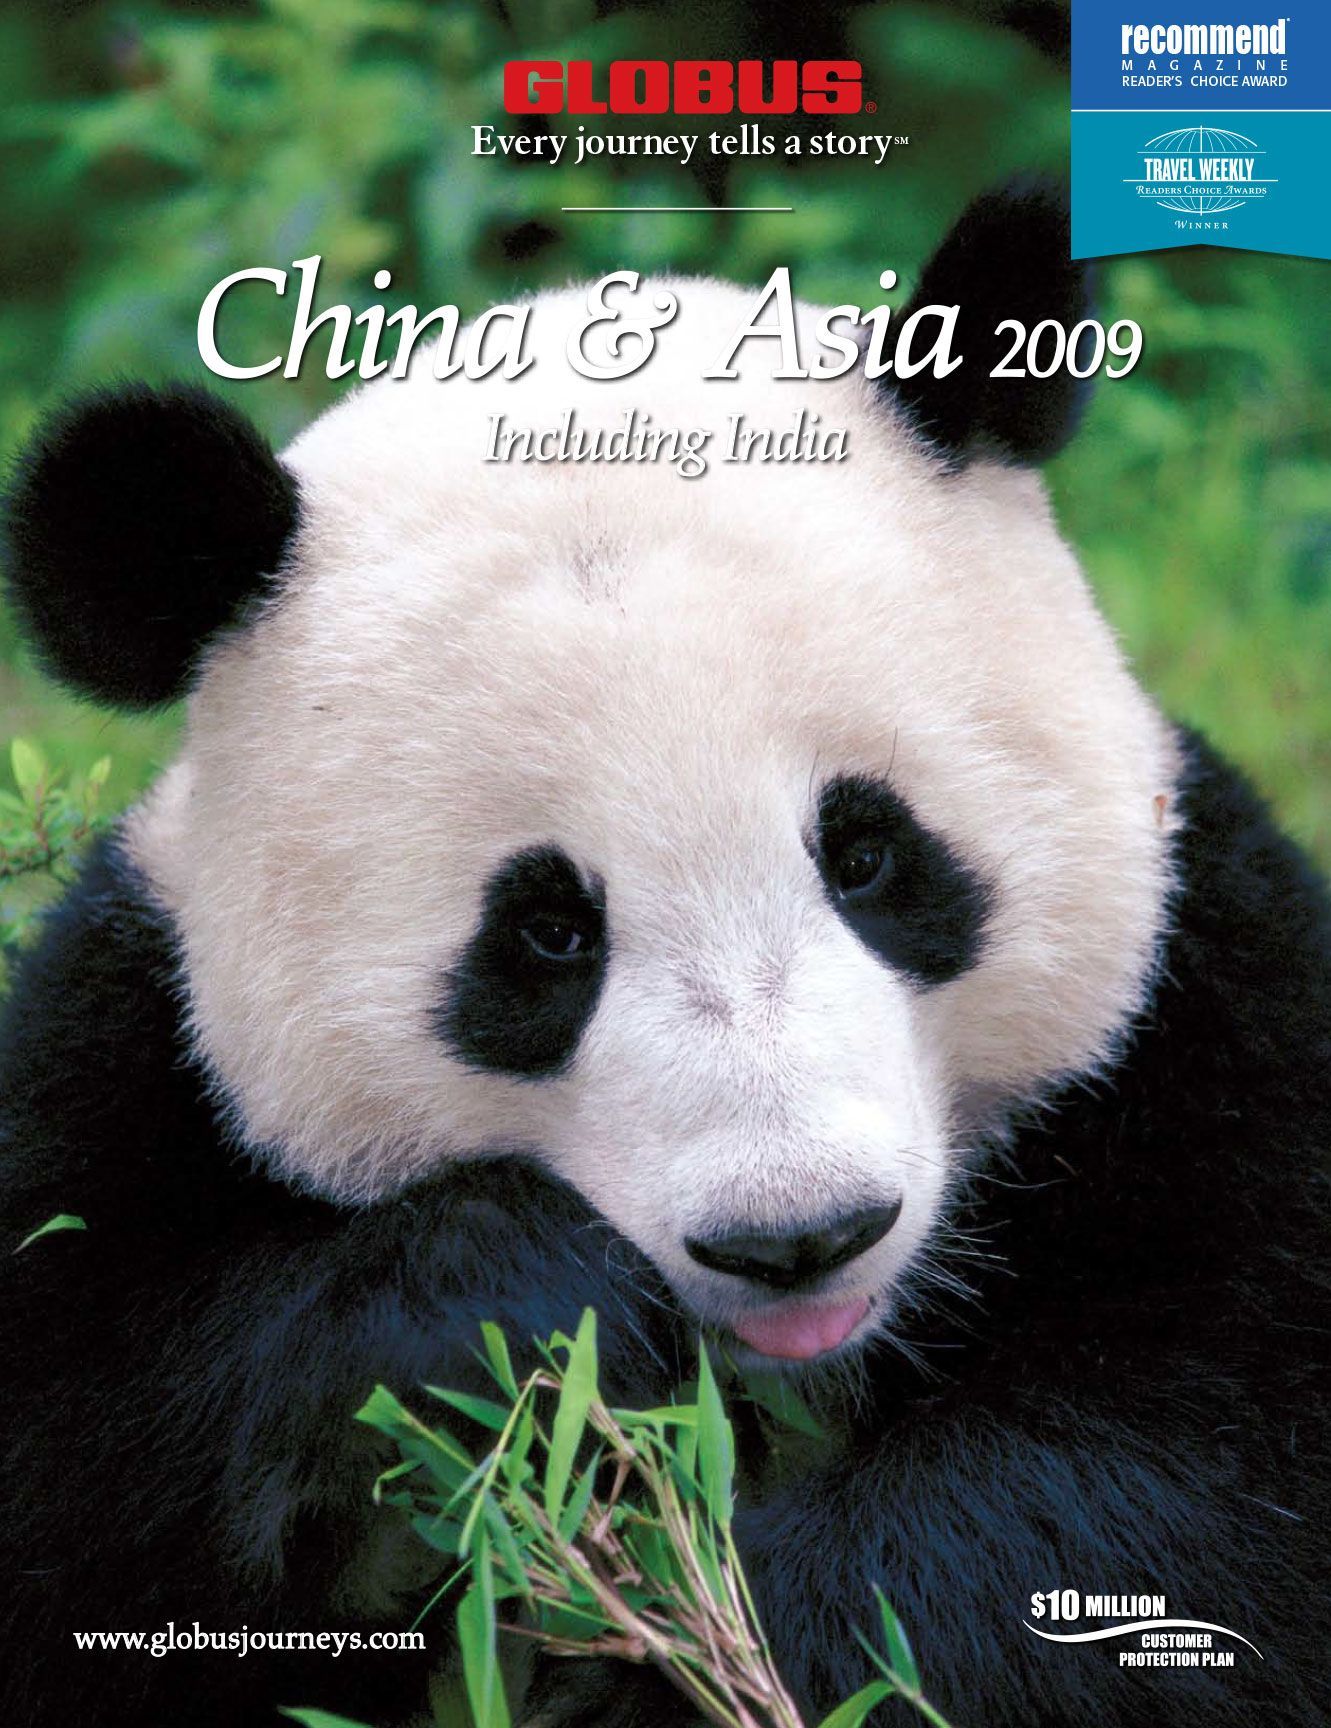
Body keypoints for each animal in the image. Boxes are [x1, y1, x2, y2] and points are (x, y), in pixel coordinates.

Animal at [1, 186, 1327, 1728]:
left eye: (866, 856)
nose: (797, 1235)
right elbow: (87, 1477)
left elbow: (1163, 1484)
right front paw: (515, 1324)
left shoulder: (1218, 1012)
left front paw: (717, 1655)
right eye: (545, 935)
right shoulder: (121, 1053)